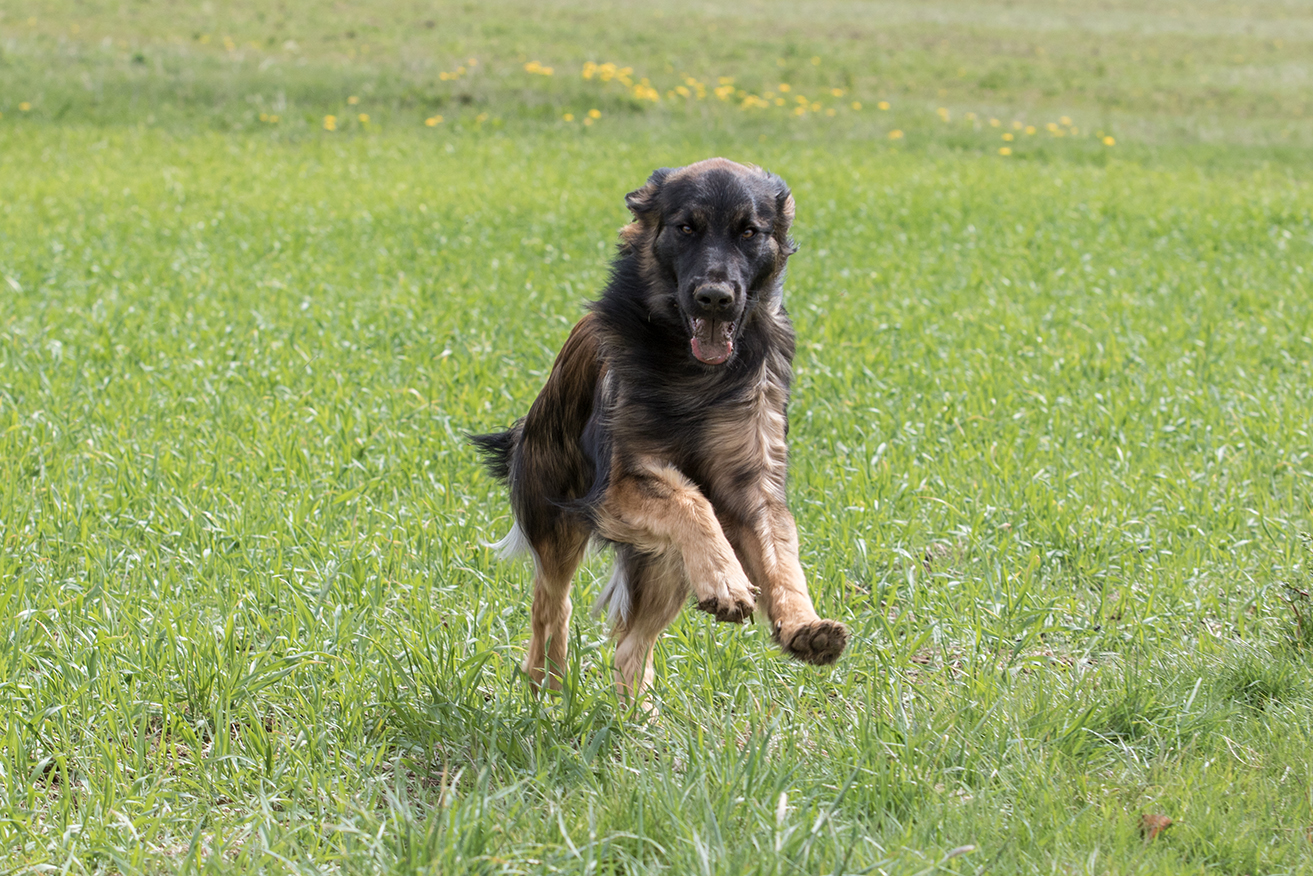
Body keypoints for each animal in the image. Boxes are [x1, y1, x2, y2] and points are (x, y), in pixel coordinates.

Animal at [471, 158, 849, 700]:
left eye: (749, 232)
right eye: (686, 228)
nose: (714, 298)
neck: (692, 373)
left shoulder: (753, 481)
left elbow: (781, 553)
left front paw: (803, 625)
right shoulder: (617, 486)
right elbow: (691, 500)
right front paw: (727, 581)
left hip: (664, 563)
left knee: (632, 648)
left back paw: (637, 713)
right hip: (559, 514)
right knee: (552, 602)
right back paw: (549, 683)